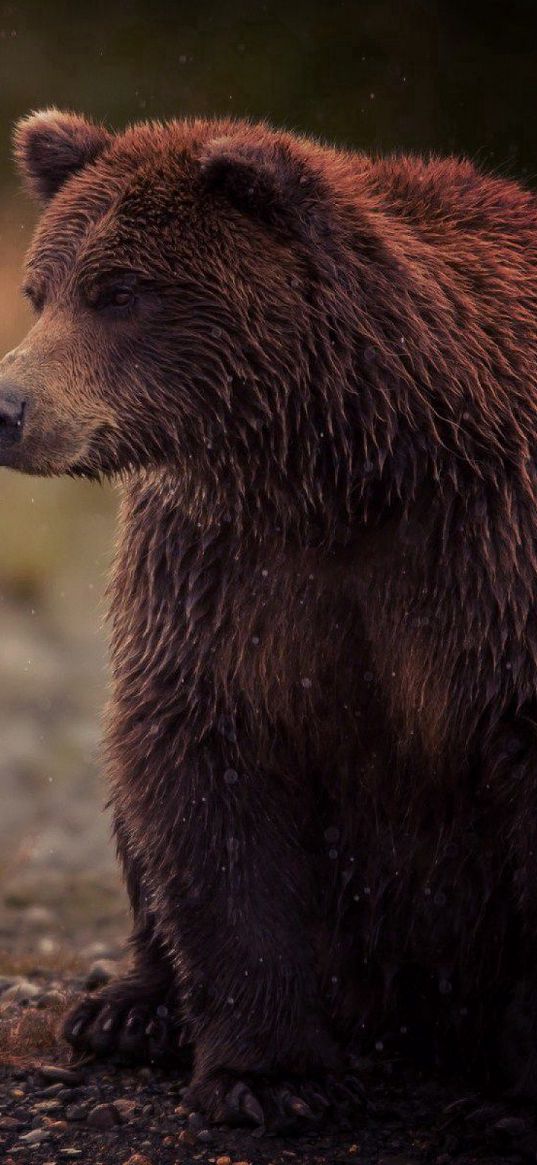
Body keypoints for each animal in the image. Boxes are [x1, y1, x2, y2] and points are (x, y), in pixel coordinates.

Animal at [3, 109, 535, 1127]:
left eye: (117, 290)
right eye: (38, 290)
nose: (6, 406)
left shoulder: (482, 548)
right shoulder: (226, 567)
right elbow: (207, 767)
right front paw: (272, 1075)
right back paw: (129, 1009)